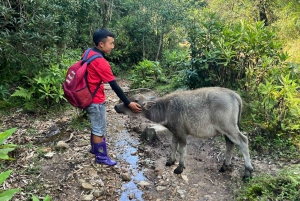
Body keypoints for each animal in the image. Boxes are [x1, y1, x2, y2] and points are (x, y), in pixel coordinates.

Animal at [115, 87, 253, 178]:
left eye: (134, 102)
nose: (116, 107)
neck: (167, 109)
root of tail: (235, 95)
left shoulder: (182, 133)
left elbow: (182, 149)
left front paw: (180, 168)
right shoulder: (174, 133)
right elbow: (173, 146)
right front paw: (170, 161)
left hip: (229, 127)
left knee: (243, 140)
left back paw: (248, 171)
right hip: (226, 130)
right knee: (230, 143)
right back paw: (225, 166)